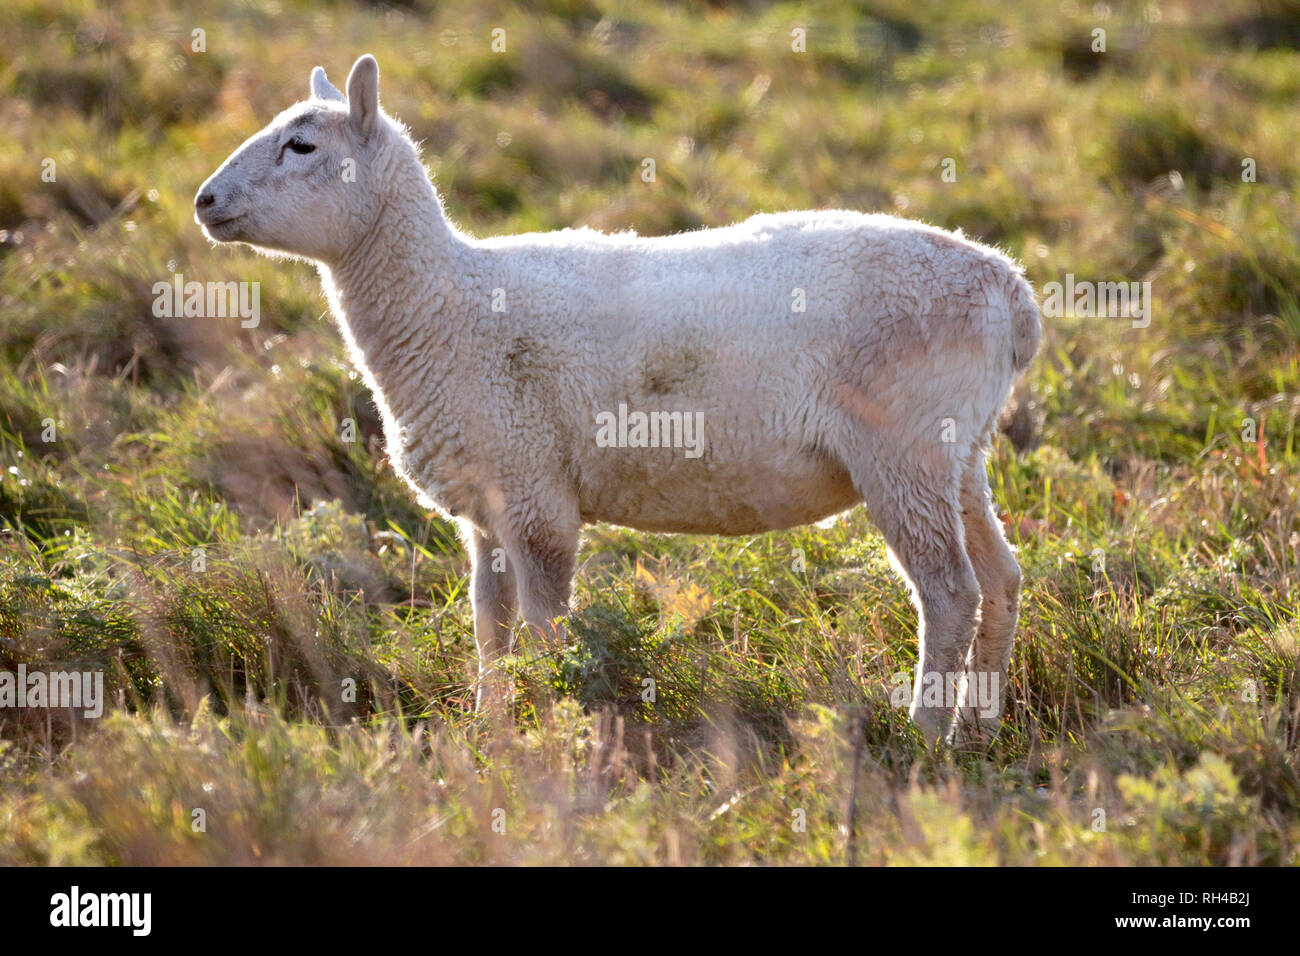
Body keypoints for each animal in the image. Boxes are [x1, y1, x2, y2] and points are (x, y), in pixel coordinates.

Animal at [195, 55, 1041, 743]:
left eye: (303, 147)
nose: (203, 201)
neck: (447, 306)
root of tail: (1010, 289)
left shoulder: (534, 492)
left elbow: (543, 628)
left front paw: (553, 728)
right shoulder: (486, 503)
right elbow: (489, 625)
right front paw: (491, 729)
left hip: (903, 448)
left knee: (950, 592)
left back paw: (926, 735)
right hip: (959, 451)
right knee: (1001, 580)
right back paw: (981, 728)